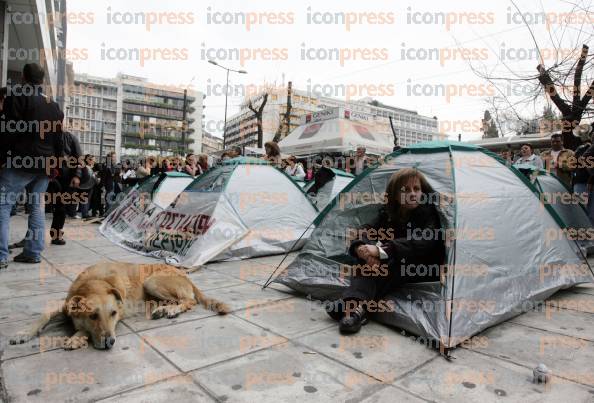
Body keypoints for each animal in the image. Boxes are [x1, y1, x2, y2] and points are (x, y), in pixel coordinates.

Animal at [8, 262, 229, 350]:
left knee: (189, 301)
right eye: (93, 316)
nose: (110, 343)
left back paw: (171, 310)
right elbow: (44, 314)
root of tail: (184, 274)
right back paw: (162, 309)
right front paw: (24, 333)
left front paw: (77, 337)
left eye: (113, 313)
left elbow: (86, 330)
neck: (96, 282)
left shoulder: (121, 313)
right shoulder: (65, 305)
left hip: (152, 281)